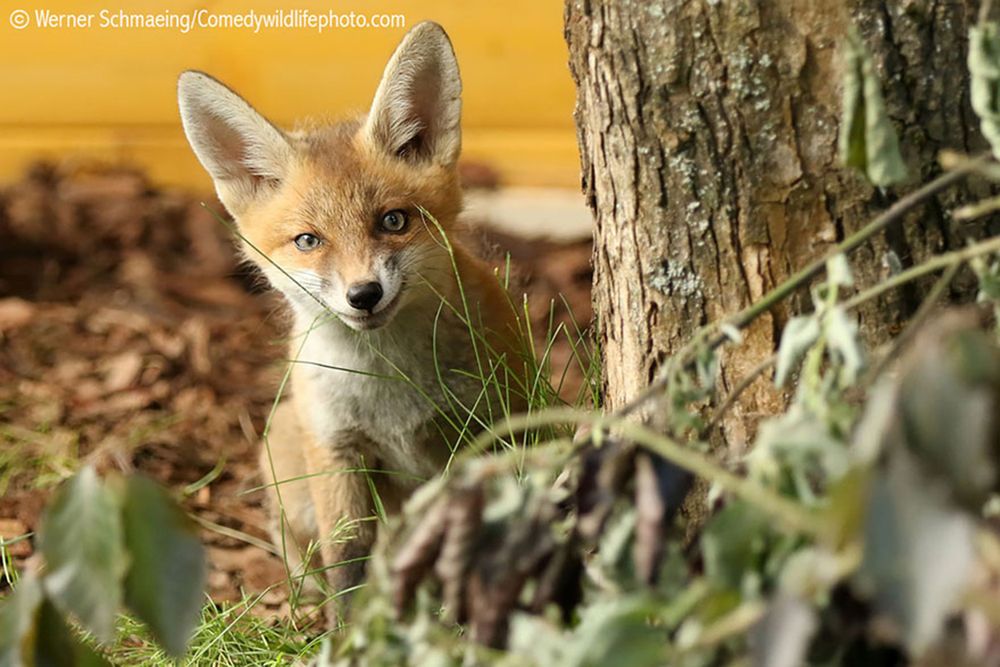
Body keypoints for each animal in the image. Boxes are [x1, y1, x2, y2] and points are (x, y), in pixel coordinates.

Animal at [177, 22, 528, 628]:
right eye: (308, 241)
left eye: (393, 221)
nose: (363, 295)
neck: (389, 386)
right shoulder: (336, 448)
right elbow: (348, 558)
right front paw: (343, 635)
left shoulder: (482, 429)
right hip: (286, 461)